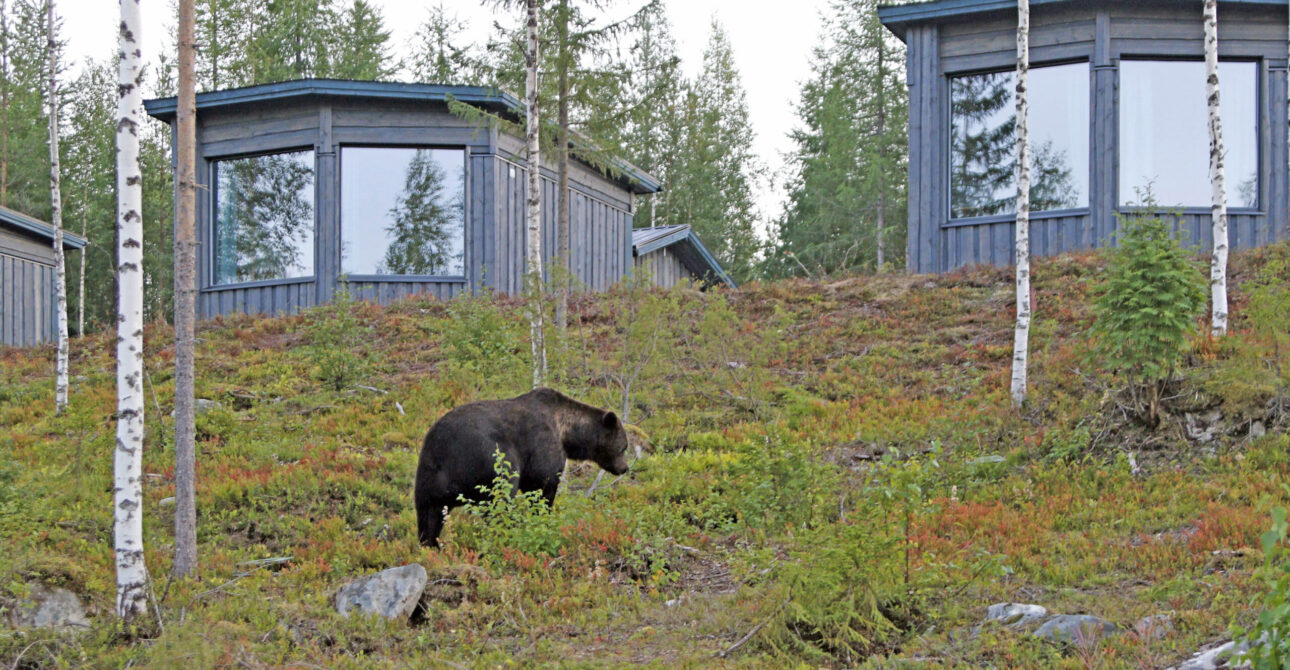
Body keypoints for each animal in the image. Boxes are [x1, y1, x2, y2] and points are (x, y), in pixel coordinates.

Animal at [413, 387, 630, 548]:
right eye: (624, 446)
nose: (625, 468)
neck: (566, 431)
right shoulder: (542, 446)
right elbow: (543, 486)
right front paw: (543, 520)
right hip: (489, 459)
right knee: (499, 500)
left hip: (429, 475)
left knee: (429, 517)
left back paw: (433, 546)